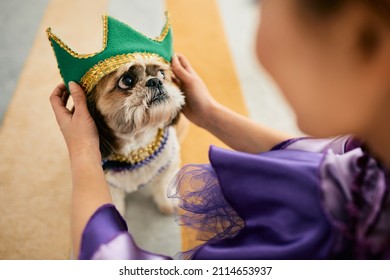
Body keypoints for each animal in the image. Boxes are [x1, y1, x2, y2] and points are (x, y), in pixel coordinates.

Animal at [87, 52, 186, 214]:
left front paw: (167, 204)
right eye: (126, 80)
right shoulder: (107, 183)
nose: (155, 81)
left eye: (161, 73)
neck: (137, 145)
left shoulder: (169, 165)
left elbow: (163, 185)